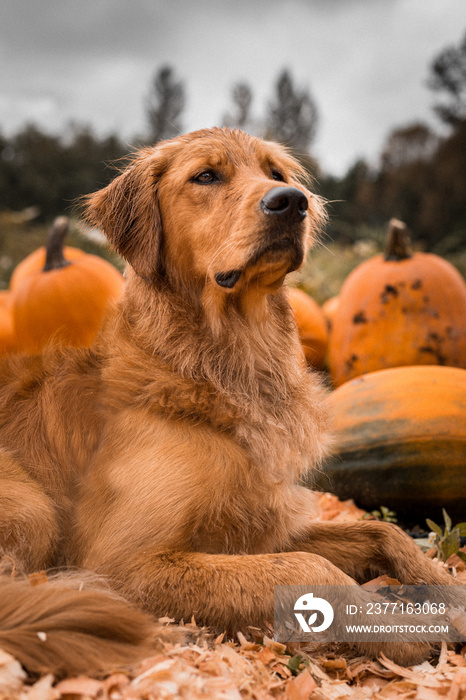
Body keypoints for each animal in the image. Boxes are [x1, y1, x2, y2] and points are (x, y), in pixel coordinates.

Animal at [0, 129, 460, 676]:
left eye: (276, 174)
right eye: (206, 176)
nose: (292, 202)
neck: (228, 364)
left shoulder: (259, 527)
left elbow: (381, 532)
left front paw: (452, 591)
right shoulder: (124, 560)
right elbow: (307, 566)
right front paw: (396, 629)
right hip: (32, 506)